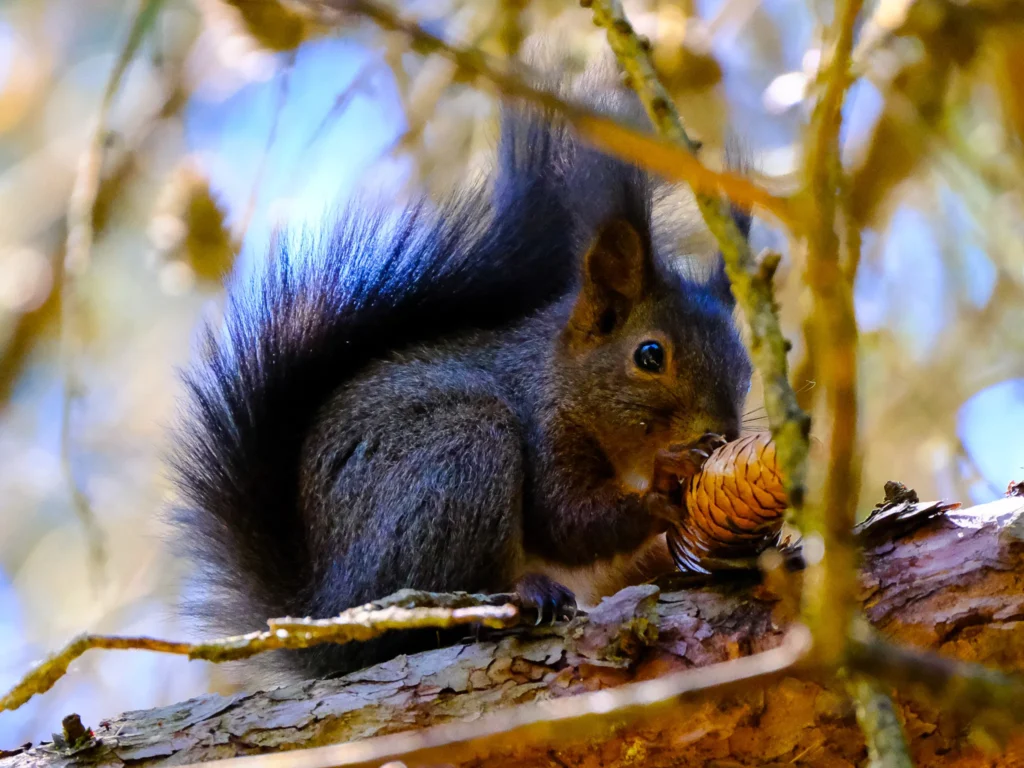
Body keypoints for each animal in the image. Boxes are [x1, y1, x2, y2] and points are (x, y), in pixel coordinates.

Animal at [169, 84, 754, 683]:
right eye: (649, 356)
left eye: (746, 365)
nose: (725, 432)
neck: (564, 380)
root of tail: (326, 610)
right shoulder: (543, 426)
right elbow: (567, 521)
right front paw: (668, 480)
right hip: (460, 456)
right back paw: (512, 603)